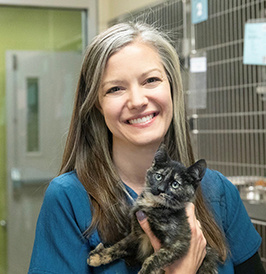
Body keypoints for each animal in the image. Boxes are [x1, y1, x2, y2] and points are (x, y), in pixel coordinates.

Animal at [87, 144, 218, 272]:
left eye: (175, 184)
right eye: (158, 176)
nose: (160, 189)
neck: (152, 205)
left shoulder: (178, 243)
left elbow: (153, 260)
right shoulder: (136, 235)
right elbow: (119, 246)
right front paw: (99, 256)